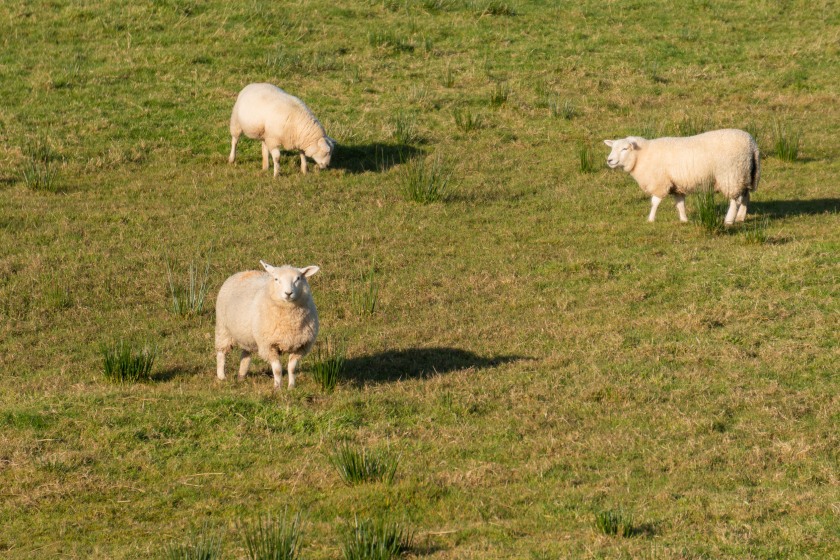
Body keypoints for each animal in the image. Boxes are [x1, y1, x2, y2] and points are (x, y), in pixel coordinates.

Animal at [215, 261, 320, 389]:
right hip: (223, 328)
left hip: (247, 335)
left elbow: (292, 368)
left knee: (245, 354)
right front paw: (277, 388)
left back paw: (241, 376)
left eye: (298, 278)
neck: (289, 321)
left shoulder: (301, 346)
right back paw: (221, 376)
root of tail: (244, 272)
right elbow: (278, 369)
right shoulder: (268, 345)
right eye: (276, 279)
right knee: (221, 353)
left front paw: (291, 387)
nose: (288, 293)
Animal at [603, 129, 760, 225]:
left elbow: (655, 202)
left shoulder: (660, 182)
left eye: (624, 149)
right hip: (744, 175)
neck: (642, 155)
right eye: (612, 148)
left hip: (731, 175)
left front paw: (650, 219)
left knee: (735, 201)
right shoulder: (676, 185)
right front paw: (684, 220)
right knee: (745, 197)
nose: (609, 160)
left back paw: (729, 220)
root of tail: (752, 145)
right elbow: (680, 204)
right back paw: (740, 217)